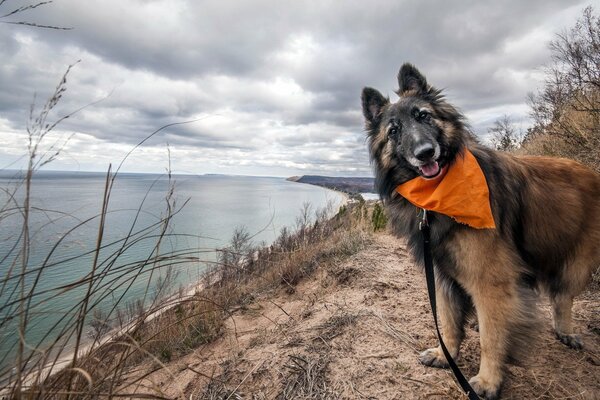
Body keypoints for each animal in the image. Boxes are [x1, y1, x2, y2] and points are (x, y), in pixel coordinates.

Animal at [360, 64, 600, 398]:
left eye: (423, 116)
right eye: (393, 131)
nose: (425, 152)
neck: (439, 195)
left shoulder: (490, 281)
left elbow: (491, 336)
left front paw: (488, 381)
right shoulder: (441, 276)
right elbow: (447, 321)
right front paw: (444, 353)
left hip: (577, 263)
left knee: (562, 297)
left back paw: (566, 331)